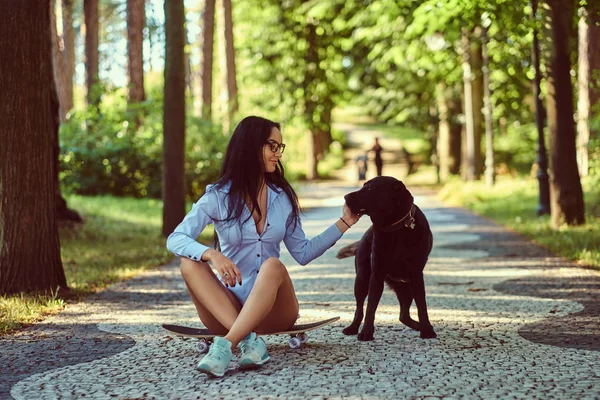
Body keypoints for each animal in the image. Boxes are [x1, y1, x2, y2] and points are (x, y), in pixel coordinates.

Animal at [338, 176, 436, 340]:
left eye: (369, 187)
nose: (345, 197)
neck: (395, 228)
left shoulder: (416, 275)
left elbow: (422, 305)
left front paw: (427, 330)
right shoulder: (376, 275)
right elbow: (370, 307)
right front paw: (366, 332)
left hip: (406, 289)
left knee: (403, 315)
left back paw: (419, 326)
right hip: (362, 280)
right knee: (359, 308)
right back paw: (352, 327)